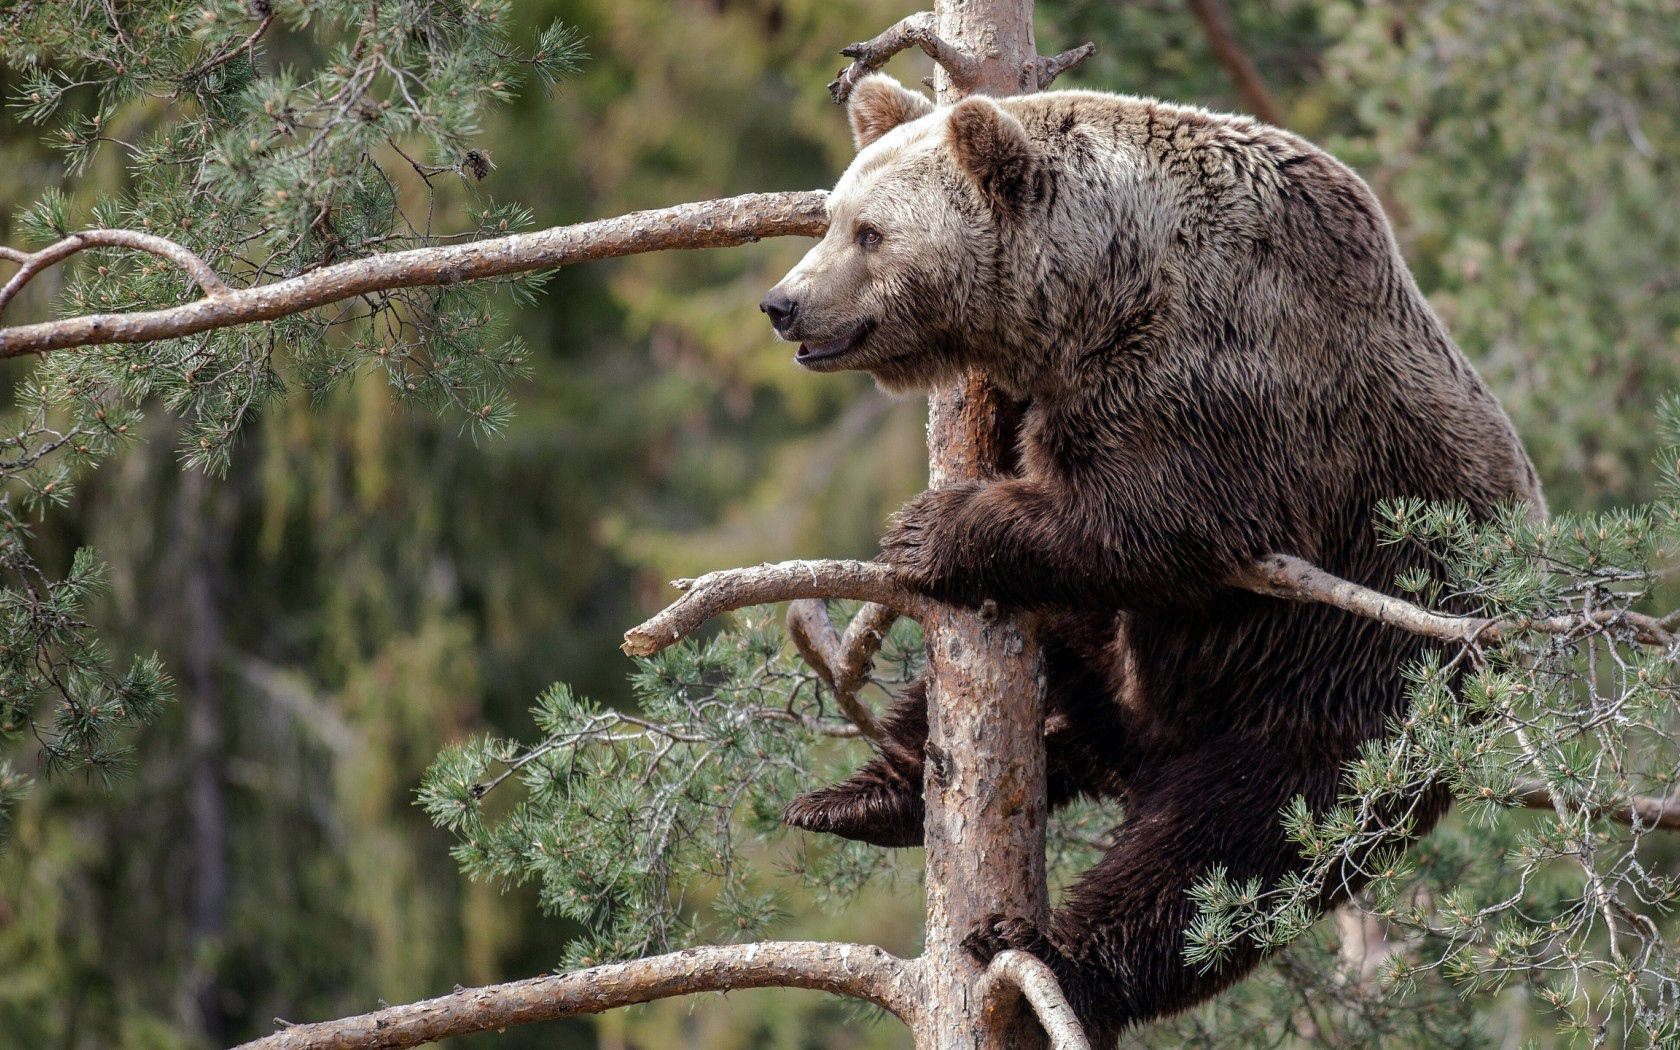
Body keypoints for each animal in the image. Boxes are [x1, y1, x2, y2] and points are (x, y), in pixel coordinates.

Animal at [759, 75, 1538, 1041]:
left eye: (870, 232)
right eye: (831, 217)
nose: (783, 303)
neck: (1105, 288)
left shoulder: (1225, 378)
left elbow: (1157, 519)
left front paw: (930, 527)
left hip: (1355, 688)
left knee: (1224, 855)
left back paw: (1052, 958)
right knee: (1025, 681)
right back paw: (863, 797)